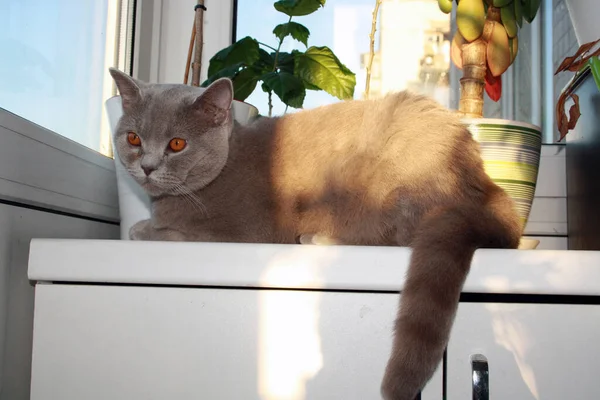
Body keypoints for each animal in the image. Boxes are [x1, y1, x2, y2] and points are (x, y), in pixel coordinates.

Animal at [110, 67, 524, 398]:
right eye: (133, 139)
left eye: (177, 144)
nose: (147, 166)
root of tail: (484, 184)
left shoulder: (241, 230)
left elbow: (160, 231)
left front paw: (142, 227)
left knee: (397, 234)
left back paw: (316, 238)